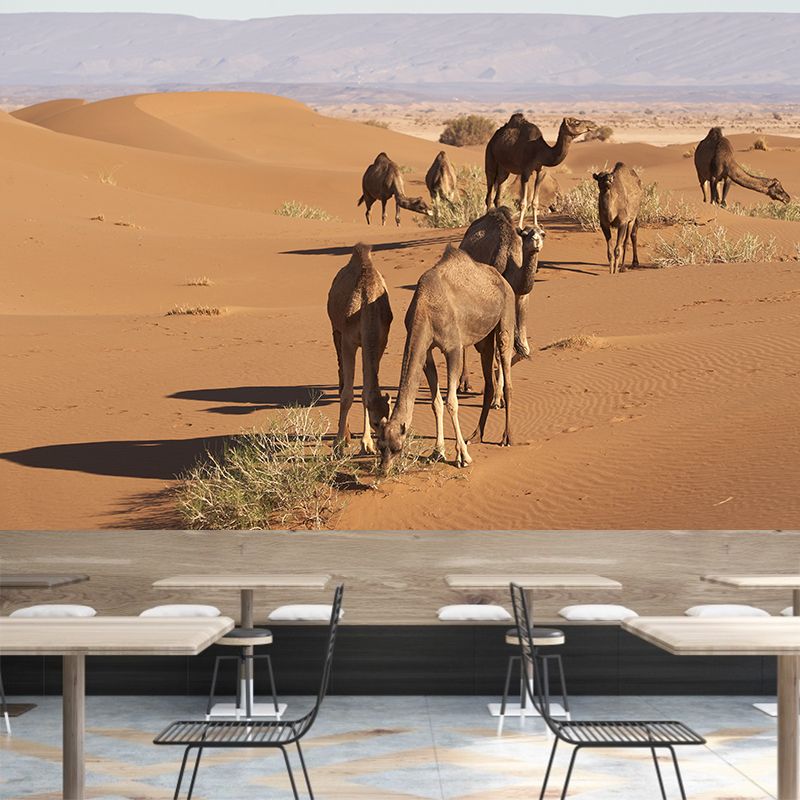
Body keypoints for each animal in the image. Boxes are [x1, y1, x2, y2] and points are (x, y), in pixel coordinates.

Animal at [326, 243, 392, 454]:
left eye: (390, 419)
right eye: (376, 422)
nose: (383, 446)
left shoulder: (379, 341)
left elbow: (365, 392)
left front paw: (366, 444)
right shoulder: (349, 340)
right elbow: (347, 395)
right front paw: (339, 444)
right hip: (336, 330)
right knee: (341, 373)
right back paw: (345, 436)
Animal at [377, 245, 525, 473]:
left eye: (396, 448)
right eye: (379, 446)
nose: (383, 470)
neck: (425, 308)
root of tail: (501, 278)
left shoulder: (453, 349)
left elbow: (452, 402)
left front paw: (463, 456)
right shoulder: (426, 351)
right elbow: (436, 402)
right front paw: (437, 452)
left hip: (506, 315)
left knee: (505, 362)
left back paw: (507, 437)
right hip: (484, 336)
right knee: (488, 378)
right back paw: (476, 435)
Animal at [459, 207, 545, 400]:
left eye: (543, 233)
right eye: (526, 234)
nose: (536, 241)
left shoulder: (521, 298)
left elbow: (523, 348)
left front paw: (497, 377)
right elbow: (499, 350)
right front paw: (497, 397)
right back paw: (464, 384)